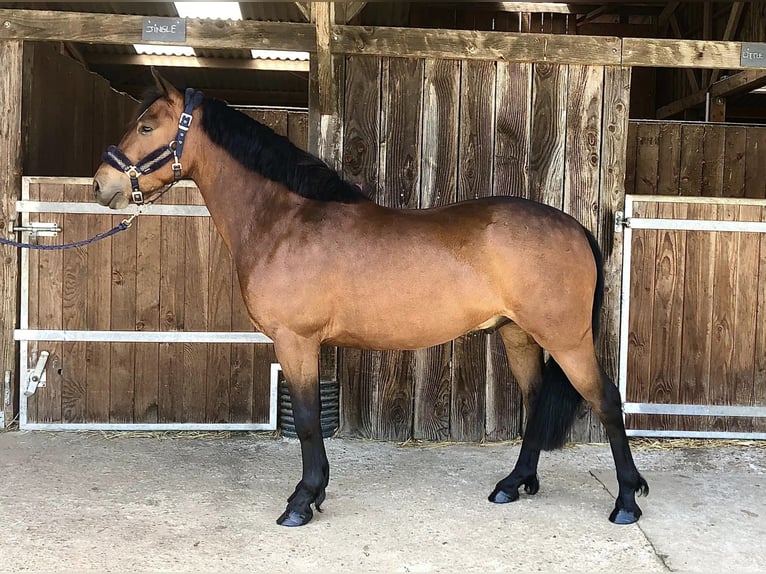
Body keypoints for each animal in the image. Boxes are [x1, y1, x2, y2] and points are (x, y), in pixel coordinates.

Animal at [93, 70, 652, 528]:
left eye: (148, 127)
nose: (103, 184)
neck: (285, 220)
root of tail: (574, 226)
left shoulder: (296, 342)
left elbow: (309, 423)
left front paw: (303, 501)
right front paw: (313, 495)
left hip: (566, 339)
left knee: (606, 400)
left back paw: (626, 501)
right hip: (518, 336)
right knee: (537, 403)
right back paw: (514, 485)